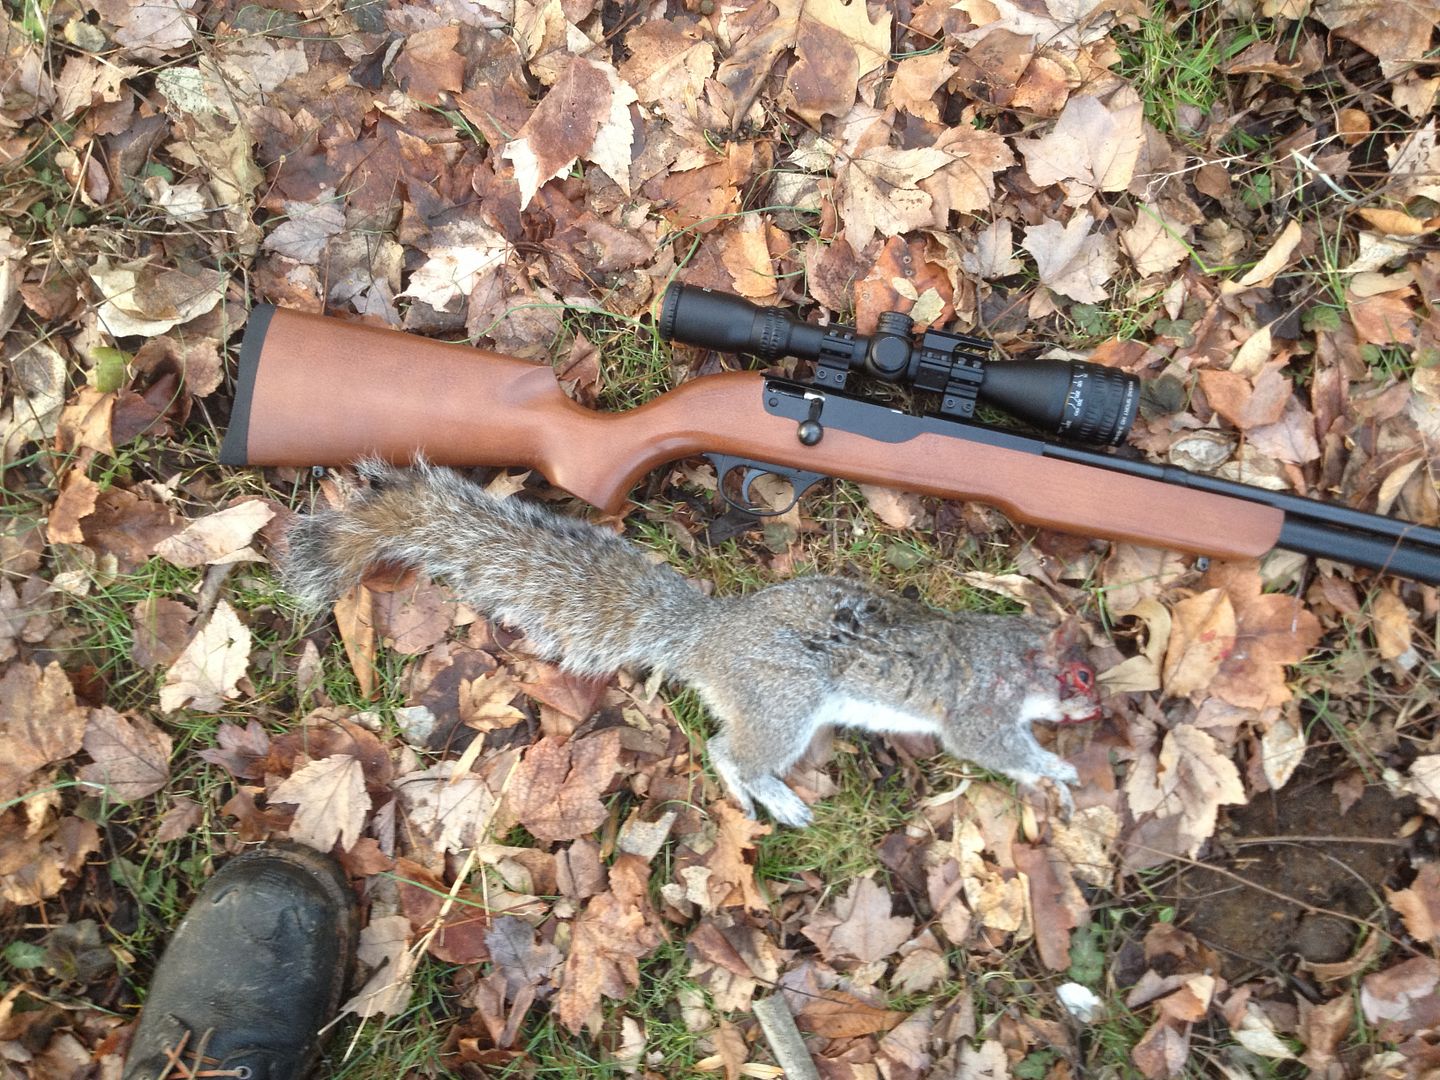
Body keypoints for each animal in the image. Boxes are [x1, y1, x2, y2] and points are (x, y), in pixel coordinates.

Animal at [281, 459, 1100, 827]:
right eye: (1083, 678)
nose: (1101, 716)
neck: (1012, 651)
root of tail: (709, 636)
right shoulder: (980, 705)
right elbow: (991, 745)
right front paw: (1058, 768)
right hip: (783, 702)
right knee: (729, 751)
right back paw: (768, 796)